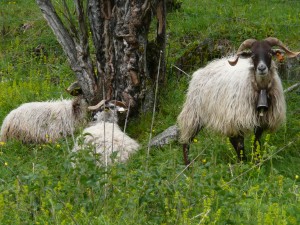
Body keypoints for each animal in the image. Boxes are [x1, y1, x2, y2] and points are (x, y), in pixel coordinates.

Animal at [177, 36, 298, 164]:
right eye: (253, 55)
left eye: (270, 53)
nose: (261, 68)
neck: (260, 88)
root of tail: (201, 70)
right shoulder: (237, 119)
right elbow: (240, 145)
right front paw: (243, 163)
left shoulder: (261, 121)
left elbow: (256, 141)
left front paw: (256, 161)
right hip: (194, 113)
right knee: (186, 141)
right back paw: (188, 165)